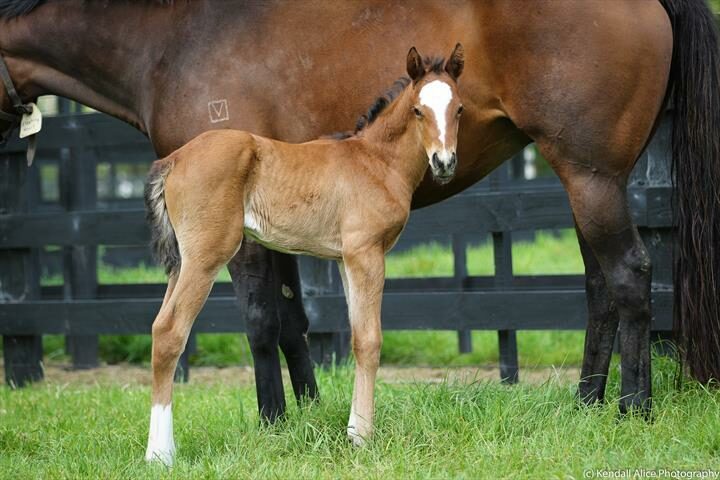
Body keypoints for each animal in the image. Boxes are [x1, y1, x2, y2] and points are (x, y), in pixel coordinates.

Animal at [143, 46, 464, 464]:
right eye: (418, 110)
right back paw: (160, 454)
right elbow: (369, 340)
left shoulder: (346, 259)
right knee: (170, 332)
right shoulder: (366, 253)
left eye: (459, 109)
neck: (374, 161)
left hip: (181, 262)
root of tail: (173, 161)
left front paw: (353, 429)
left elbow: (356, 335)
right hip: (205, 256)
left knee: (157, 328)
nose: (444, 163)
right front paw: (363, 437)